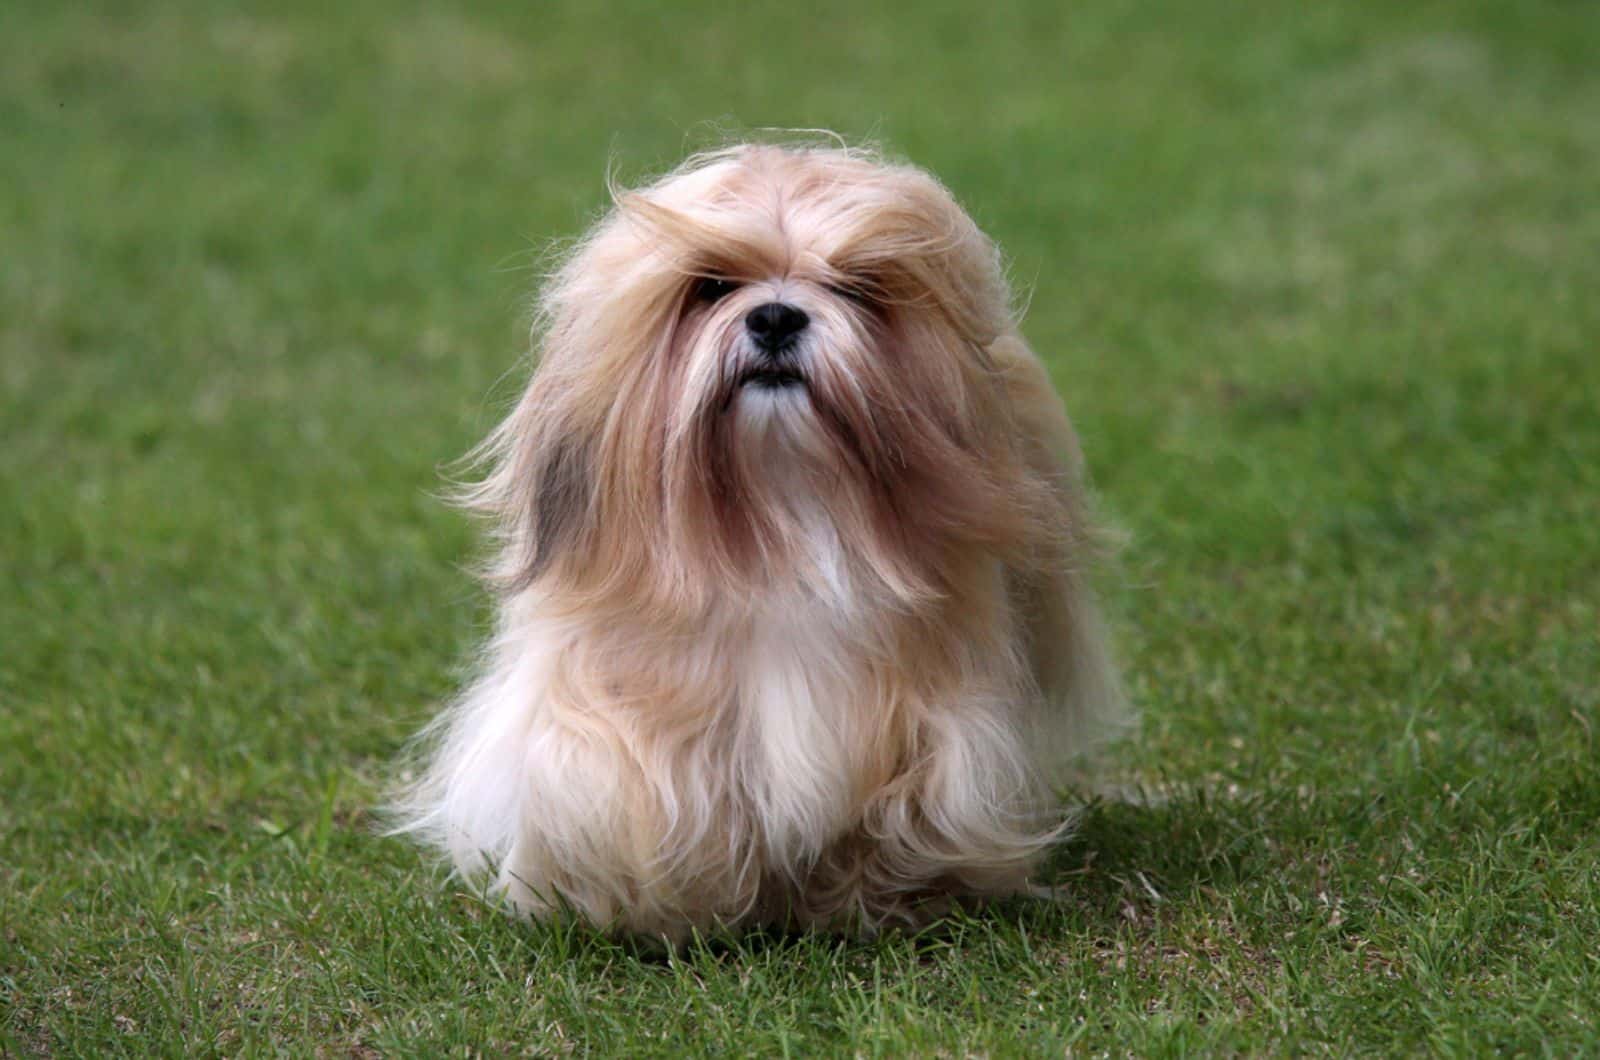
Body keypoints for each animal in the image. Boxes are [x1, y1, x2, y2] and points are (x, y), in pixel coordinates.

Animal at [396, 143, 1126, 947]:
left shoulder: (932, 725)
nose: (776, 316)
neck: (781, 518)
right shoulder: (627, 717)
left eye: (856, 287)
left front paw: (873, 901)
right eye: (711, 286)